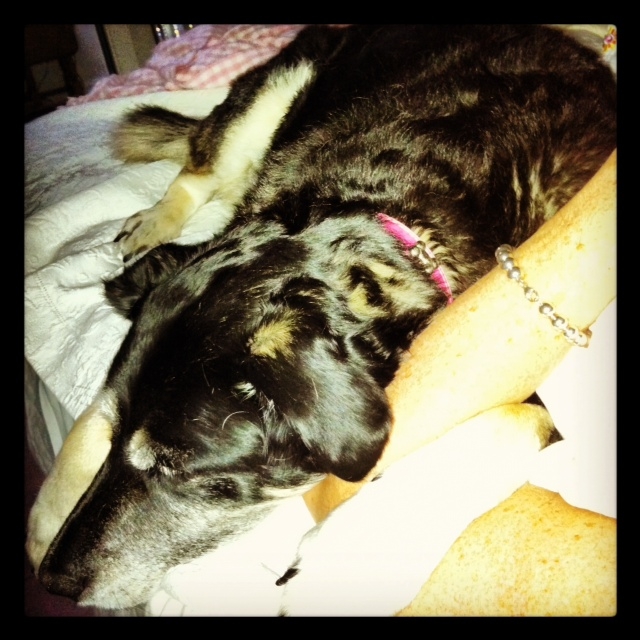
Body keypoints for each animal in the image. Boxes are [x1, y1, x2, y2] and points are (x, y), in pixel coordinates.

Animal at [27, 25, 616, 611]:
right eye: (121, 438)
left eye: (173, 467)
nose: (50, 582)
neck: (388, 226)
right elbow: (94, 416)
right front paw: (50, 508)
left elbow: (515, 420)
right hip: (272, 94)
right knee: (198, 170)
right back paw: (153, 220)